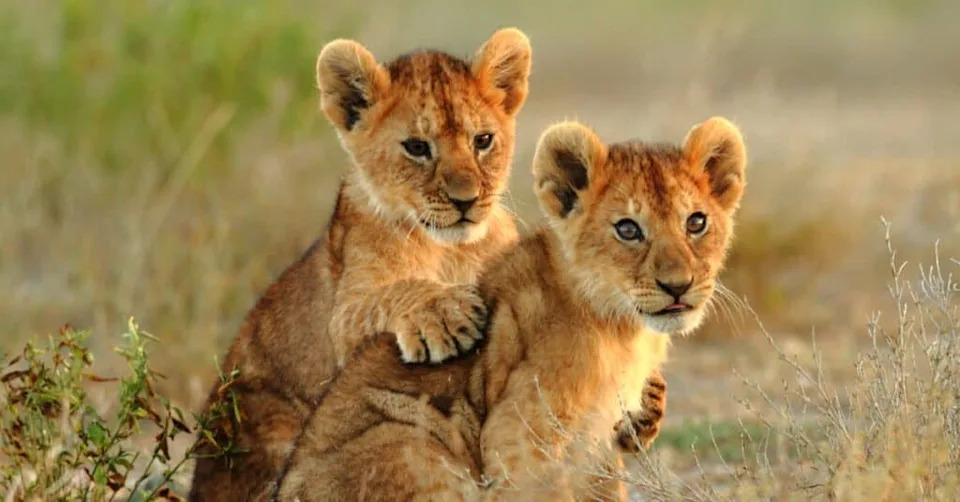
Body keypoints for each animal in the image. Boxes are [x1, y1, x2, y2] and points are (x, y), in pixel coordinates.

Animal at [189, 29, 532, 501]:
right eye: (417, 148)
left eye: (483, 141)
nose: (466, 201)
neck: (452, 250)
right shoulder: (345, 317)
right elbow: (387, 298)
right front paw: (445, 314)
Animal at [274, 116, 747, 501]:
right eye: (628, 230)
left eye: (696, 222)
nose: (678, 286)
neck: (623, 329)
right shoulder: (518, 438)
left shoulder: (595, 445)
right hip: (413, 440)